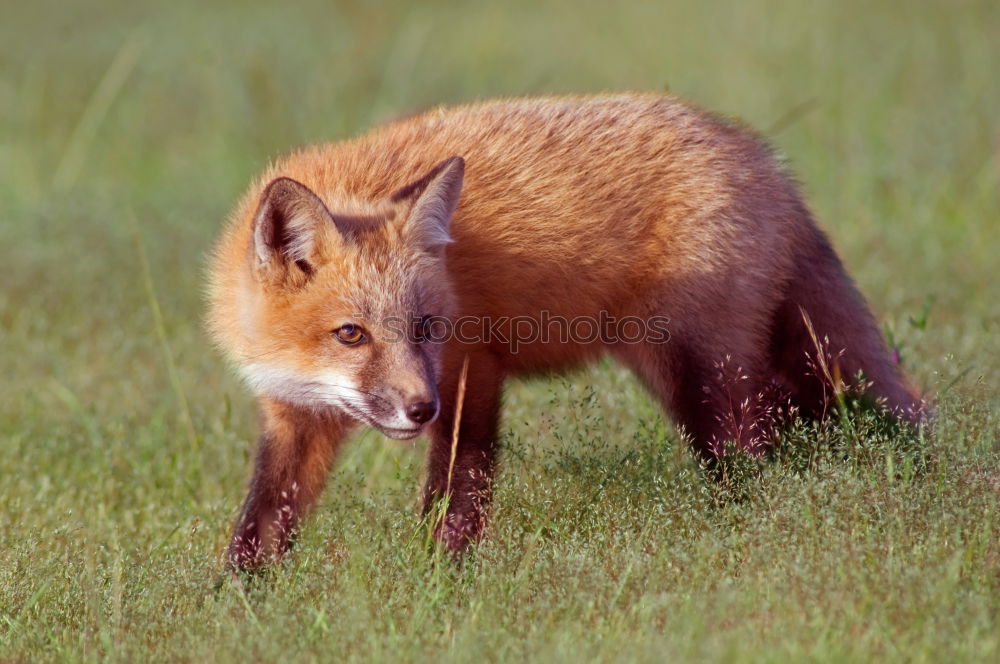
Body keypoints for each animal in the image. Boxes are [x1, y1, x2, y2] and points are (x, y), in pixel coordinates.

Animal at [207, 93, 924, 572]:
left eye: (426, 325)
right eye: (351, 334)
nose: (419, 408)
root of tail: (765, 159)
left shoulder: (471, 370)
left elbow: (456, 490)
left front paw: (437, 580)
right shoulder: (293, 414)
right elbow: (261, 517)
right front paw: (242, 599)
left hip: (701, 377)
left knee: (754, 460)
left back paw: (739, 541)